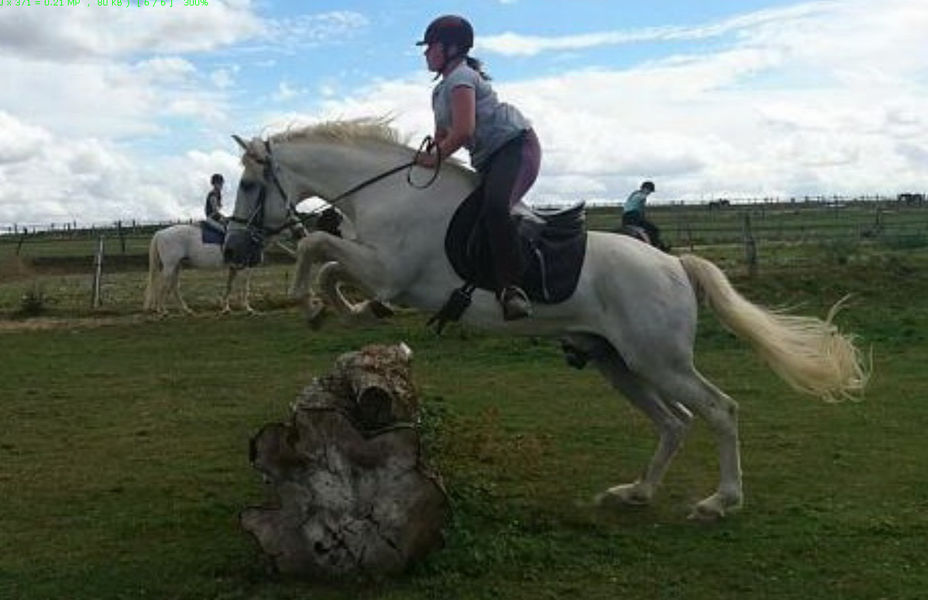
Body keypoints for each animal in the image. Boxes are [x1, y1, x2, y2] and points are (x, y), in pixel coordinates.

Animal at [227, 118, 872, 520]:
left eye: (251, 184)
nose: (234, 248)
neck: (391, 194)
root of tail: (673, 264)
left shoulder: (389, 269)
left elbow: (318, 251)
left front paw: (314, 303)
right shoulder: (381, 269)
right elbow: (329, 262)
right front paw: (343, 310)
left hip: (657, 359)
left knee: (718, 410)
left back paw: (720, 501)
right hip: (617, 362)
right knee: (674, 422)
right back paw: (635, 492)